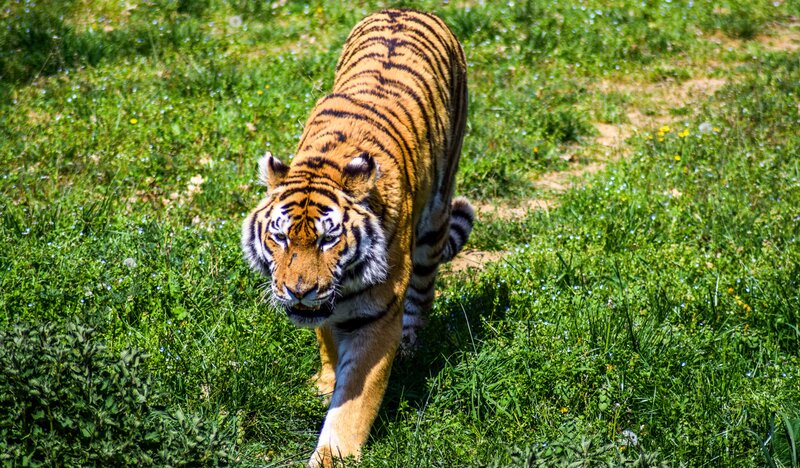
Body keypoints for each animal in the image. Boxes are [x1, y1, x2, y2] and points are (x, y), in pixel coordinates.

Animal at [241, 9, 473, 466]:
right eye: (281, 238)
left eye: (328, 240)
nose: (298, 291)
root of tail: (407, 9)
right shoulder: (325, 309)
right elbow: (327, 340)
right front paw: (325, 381)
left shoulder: (376, 317)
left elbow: (350, 408)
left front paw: (332, 453)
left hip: (435, 216)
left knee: (423, 290)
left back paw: (410, 345)